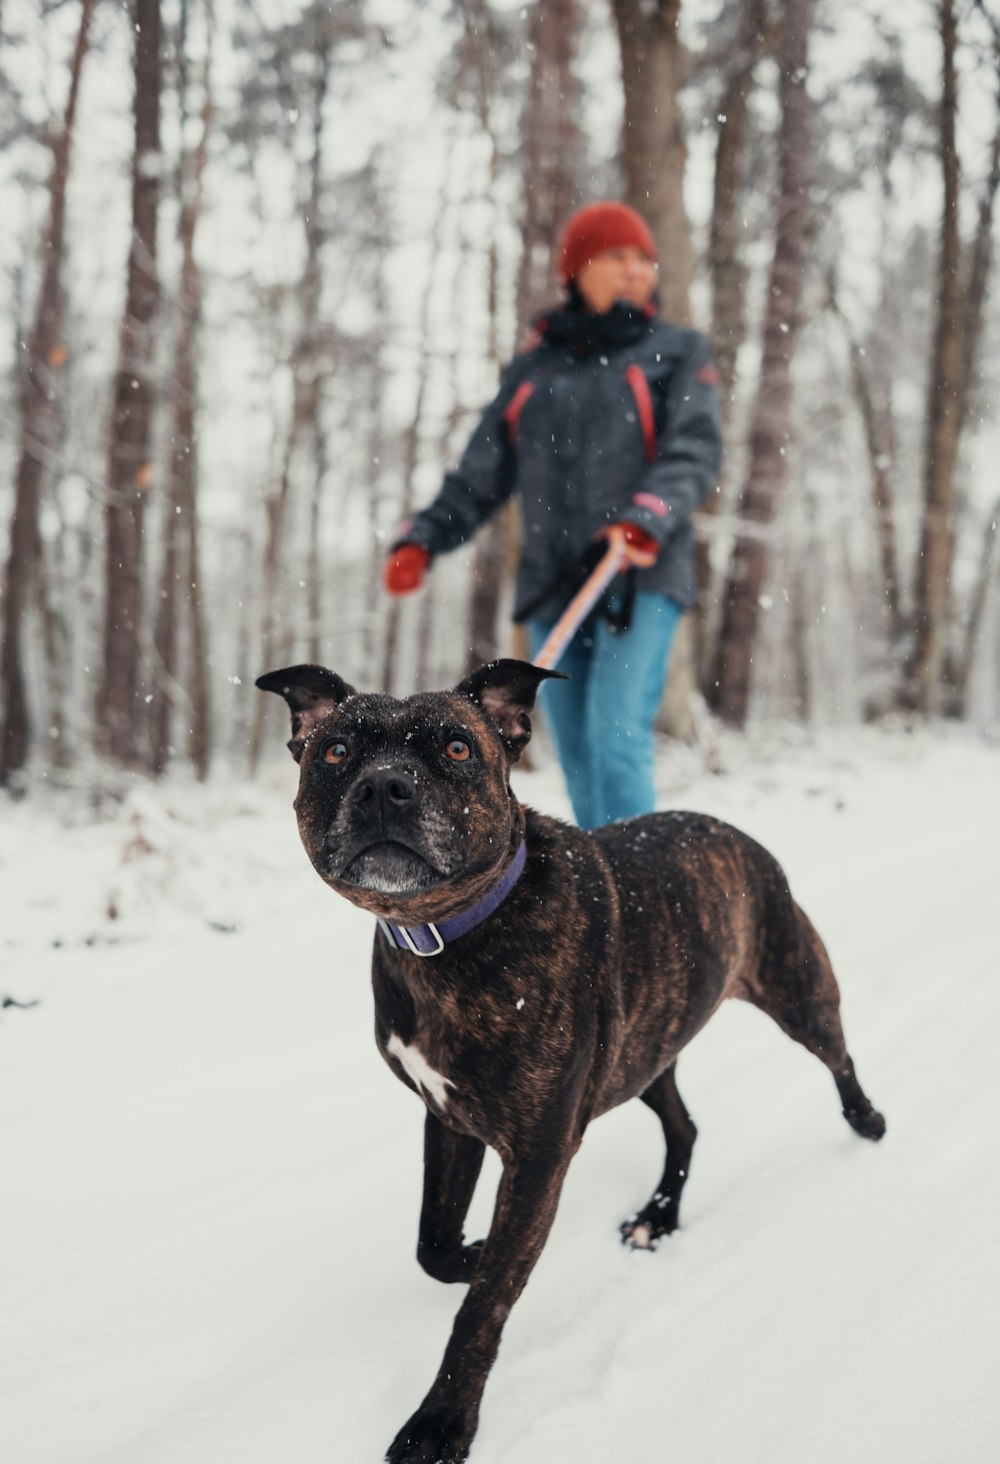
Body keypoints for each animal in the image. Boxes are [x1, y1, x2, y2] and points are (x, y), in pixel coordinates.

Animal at [256, 661, 884, 1464]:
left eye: (457, 748)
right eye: (336, 752)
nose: (384, 787)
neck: (444, 937)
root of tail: (727, 829)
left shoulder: (539, 1152)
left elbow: (484, 1305)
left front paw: (442, 1421)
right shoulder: (448, 1118)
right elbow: (434, 1242)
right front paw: (474, 1250)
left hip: (795, 986)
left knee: (838, 1053)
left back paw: (867, 1121)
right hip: (643, 1054)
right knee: (684, 1125)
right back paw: (657, 1217)